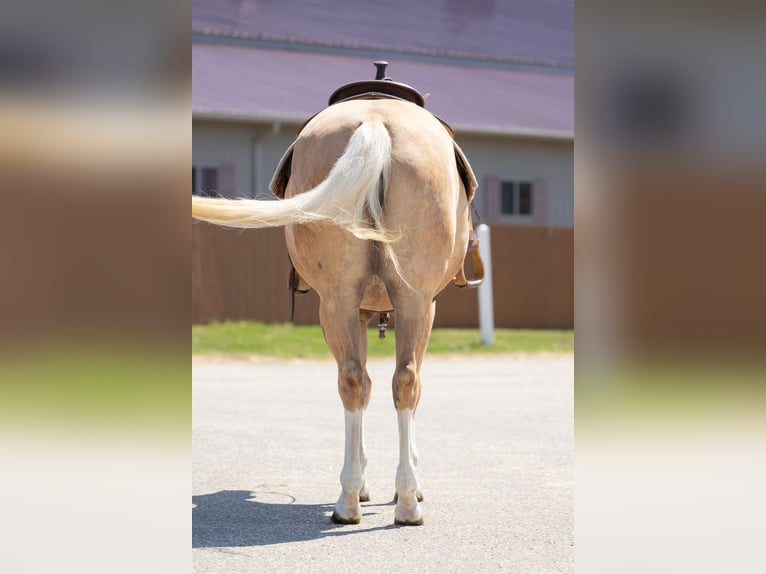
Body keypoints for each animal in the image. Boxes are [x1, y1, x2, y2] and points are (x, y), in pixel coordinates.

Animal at [192, 74, 480, 528]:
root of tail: (376, 124)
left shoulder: (369, 309)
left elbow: (369, 384)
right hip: (406, 302)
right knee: (401, 381)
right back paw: (397, 500)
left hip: (343, 301)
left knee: (359, 379)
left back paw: (356, 500)